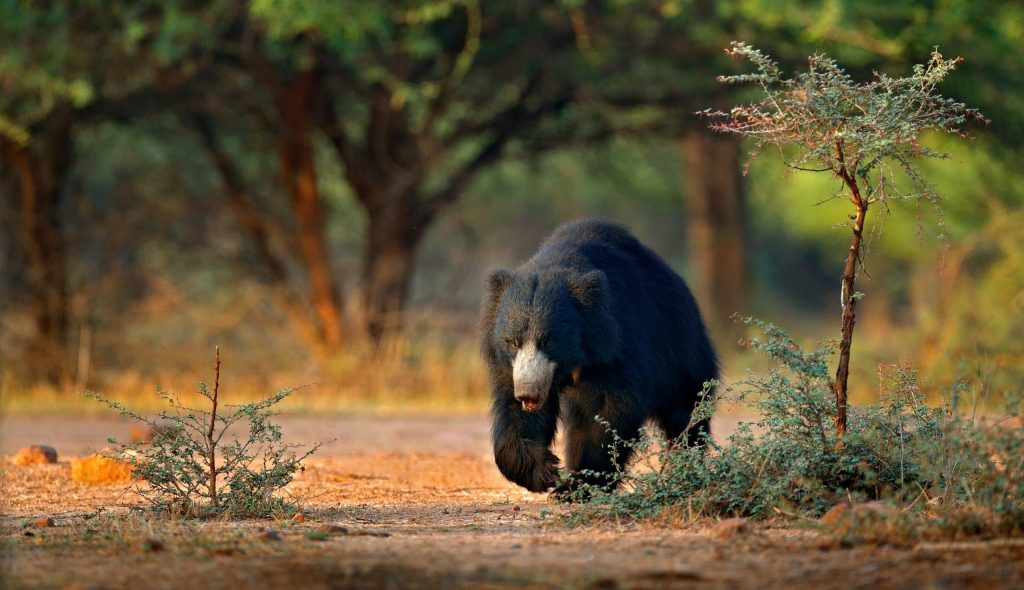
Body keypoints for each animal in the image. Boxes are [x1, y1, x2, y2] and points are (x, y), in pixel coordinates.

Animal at [479, 219, 719, 493]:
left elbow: (610, 412)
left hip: (681, 349)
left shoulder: (618, 346)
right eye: (513, 342)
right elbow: (513, 412)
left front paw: (577, 485)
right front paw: (544, 471)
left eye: (549, 341)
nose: (528, 392)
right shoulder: (510, 366)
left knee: (686, 411)